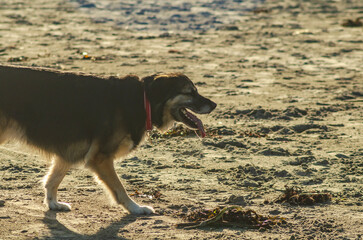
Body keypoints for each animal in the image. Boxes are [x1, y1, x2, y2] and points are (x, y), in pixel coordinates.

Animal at [0, 64, 216, 215]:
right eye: (190, 92)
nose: (214, 105)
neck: (143, 100)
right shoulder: (101, 157)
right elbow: (120, 189)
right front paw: (135, 208)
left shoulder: (68, 154)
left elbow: (53, 180)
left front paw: (53, 203)